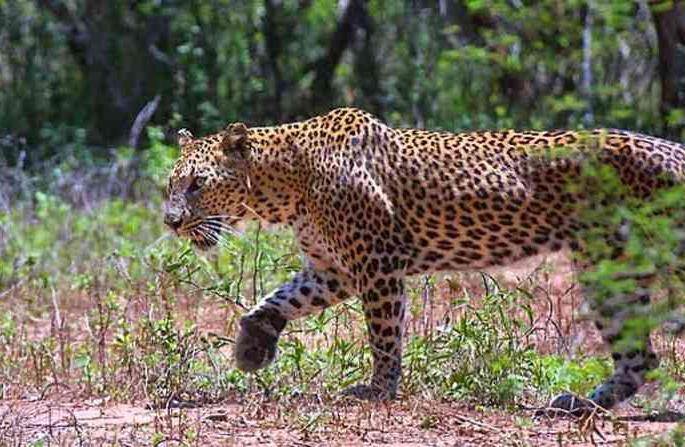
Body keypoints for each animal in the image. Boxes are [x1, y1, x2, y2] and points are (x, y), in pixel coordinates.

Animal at [163, 107, 685, 413]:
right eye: (171, 182)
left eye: (197, 184)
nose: (170, 221)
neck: (286, 183)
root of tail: (673, 149)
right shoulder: (333, 270)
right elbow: (276, 300)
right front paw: (252, 347)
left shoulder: (376, 264)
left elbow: (384, 336)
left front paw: (379, 390)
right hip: (609, 267)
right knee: (639, 357)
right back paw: (574, 404)